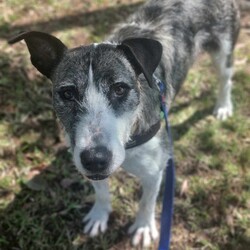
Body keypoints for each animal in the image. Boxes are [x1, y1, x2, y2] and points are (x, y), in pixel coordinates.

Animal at [9, 0, 240, 247]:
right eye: (68, 93)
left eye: (120, 89)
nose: (95, 159)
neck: (129, 138)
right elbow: (101, 192)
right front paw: (100, 215)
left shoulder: (154, 170)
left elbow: (147, 202)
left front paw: (144, 227)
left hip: (223, 51)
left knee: (226, 79)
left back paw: (223, 106)